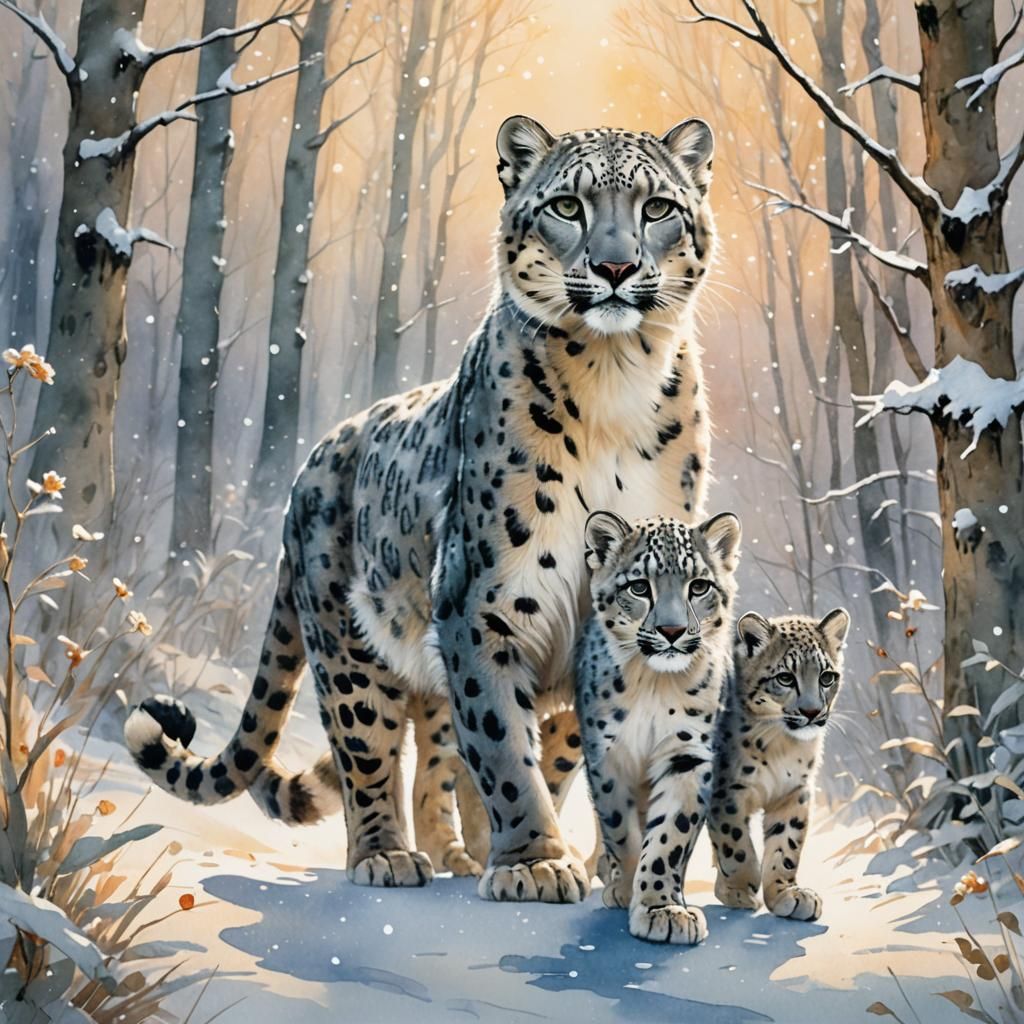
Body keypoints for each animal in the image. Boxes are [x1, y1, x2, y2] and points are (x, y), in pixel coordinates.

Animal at [124, 113, 718, 903]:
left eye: (657, 208)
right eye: (568, 206)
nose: (616, 268)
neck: (614, 377)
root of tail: (312, 464)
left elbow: (552, 751)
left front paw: (576, 865)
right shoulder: (483, 602)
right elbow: (504, 747)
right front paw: (535, 862)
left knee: (436, 750)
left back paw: (454, 854)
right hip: (349, 648)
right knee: (369, 753)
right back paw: (389, 856)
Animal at [575, 509, 741, 944]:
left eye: (698, 585)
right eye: (638, 586)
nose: (672, 631)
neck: (654, 683)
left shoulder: (688, 752)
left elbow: (671, 834)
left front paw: (661, 907)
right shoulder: (607, 754)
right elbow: (619, 826)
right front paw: (626, 887)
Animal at [708, 608, 850, 921]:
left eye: (827, 677)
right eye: (785, 678)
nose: (812, 712)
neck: (781, 745)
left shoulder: (794, 791)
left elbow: (787, 844)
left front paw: (787, 895)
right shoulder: (725, 790)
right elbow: (734, 841)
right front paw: (740, 889)